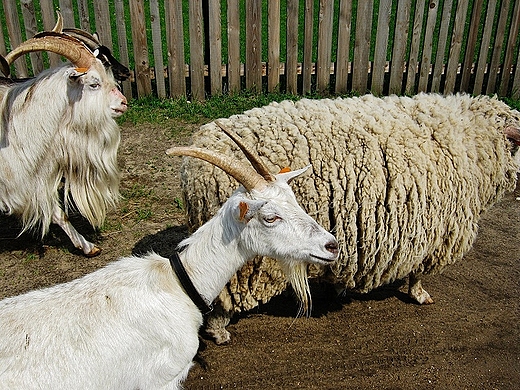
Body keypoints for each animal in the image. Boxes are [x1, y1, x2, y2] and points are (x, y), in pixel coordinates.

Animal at [180, 93, 520, 342]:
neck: (468, 142)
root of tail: (193, 171)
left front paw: (341, 287)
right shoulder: (433, 233)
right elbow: (417, 273)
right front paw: (420, 295)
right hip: (247, 264)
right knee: (222, 294)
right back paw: (219, 331)